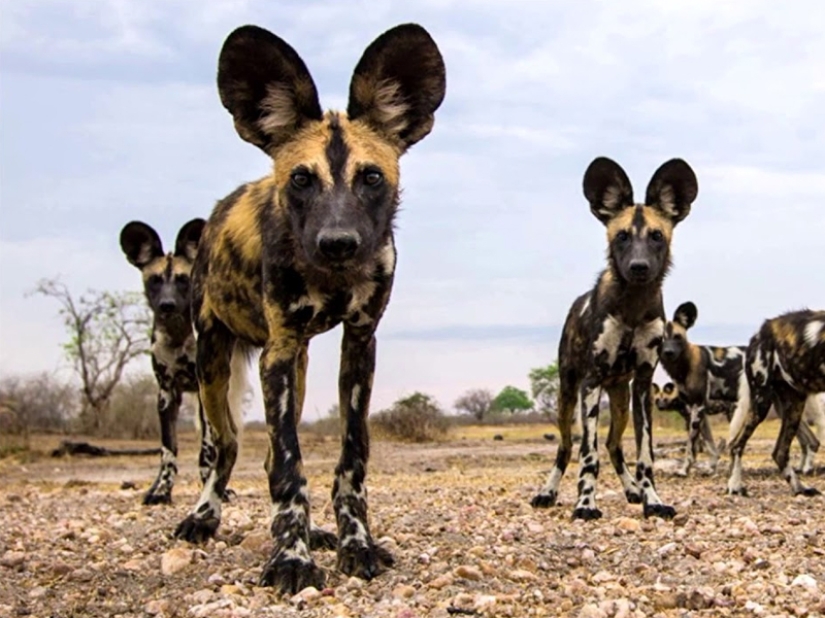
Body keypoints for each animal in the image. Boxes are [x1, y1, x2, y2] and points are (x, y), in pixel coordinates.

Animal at [119, 219, 229, 502]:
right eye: (155, 280)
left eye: (183, 280)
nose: (167, 305)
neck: (178, 335)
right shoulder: (166, 394)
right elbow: (168, 450)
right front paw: (161, 490)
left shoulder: (204, 393)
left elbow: (207, 451)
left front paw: (211, 487)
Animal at [171, 24, 448, 592]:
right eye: (301, 179)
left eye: (371, 178)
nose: (338, 243)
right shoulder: (276, 351)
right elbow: (288, 467)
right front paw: (291, 559)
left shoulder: (359, 346)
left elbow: (349, 459)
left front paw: (354, 543)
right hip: (214, 362)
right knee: (224, 448)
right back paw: (203, 517)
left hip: (293, 370)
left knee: (266, 452)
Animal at [528, 155, 696, 520]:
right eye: (621, 237)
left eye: (656, 236)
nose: (639, 267)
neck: (632, 306)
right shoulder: (591, 382)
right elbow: (587, 455)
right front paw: (585, 505)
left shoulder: (644, 386)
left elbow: (645, 455)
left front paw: (652, 500)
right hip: (566, 395)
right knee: (566, 447)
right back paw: (547, 493)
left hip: (620, 399)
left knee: (613, 444)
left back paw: (633, 490)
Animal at [656, 300, 816, 474]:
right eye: (660, 339)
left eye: (677, 337)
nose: (668, 352)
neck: (685, 364)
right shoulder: (700, 413)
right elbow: (710, 446)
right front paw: (712, 468)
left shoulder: (698, 409)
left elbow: (691, 446)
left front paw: (684, 470)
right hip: (782, 407)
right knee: (810, 440)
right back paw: (802, 468)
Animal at [728, 308, 824, 496]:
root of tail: (759, 334)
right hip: (761, 404)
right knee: (736, 445)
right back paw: (735, 485)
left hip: (794, 407)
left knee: (779, 453)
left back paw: (799, 488)